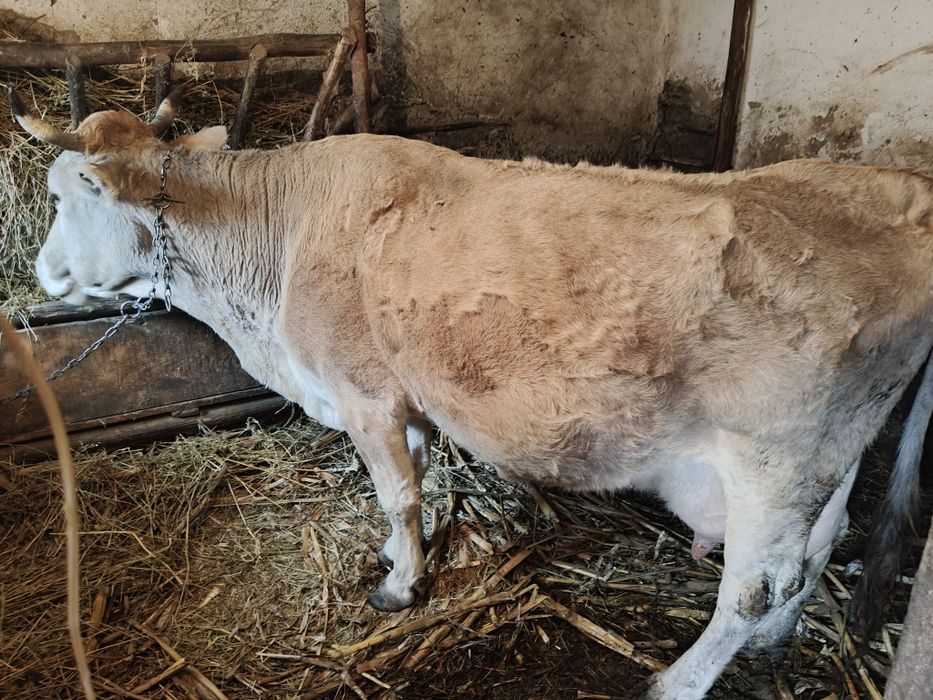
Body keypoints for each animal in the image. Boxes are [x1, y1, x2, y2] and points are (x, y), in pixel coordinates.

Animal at [11, 88, 933, 699]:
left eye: (58, 195)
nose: (42, 271)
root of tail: (899, 195)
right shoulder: (405, 400)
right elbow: (415, 483)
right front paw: (401, 563)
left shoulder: (365, 394)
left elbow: (396, 495)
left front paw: (398, 588)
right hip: (833, 454)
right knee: (812, 554)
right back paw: (777, 644)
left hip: (772, 458)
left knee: (751, 587)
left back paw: (673, 682)